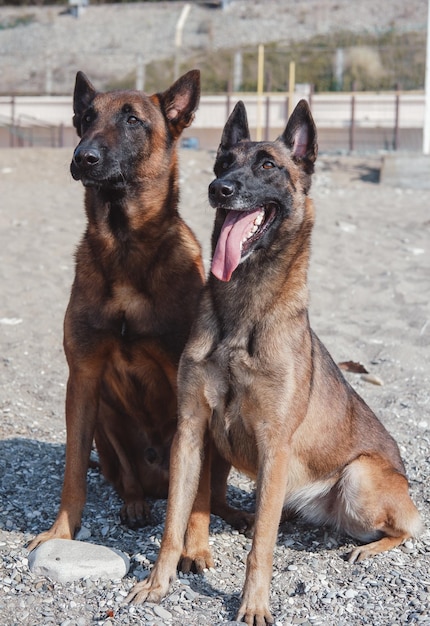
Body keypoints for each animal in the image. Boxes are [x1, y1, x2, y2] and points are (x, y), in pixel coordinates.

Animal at [28, 68, 207, 544]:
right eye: (86, 117)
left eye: (132, 120)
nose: (83, 157)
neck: (125, 245)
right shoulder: (84, 378)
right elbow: (72, 471)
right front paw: (61, 530)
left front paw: (194, 549)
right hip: (107, 419)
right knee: (125, 475)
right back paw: (135, 502)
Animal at [126, 100, 422, 620]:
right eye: (224, 163)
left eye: (268, 166)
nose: (220, 189)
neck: (242, 312)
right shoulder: (190, 432)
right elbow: (173, 522)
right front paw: (157, 584)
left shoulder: (274, 445)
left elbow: (263, 544)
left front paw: (253, 603)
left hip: (359, 478)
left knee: (406, 526)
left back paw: (367, 548)